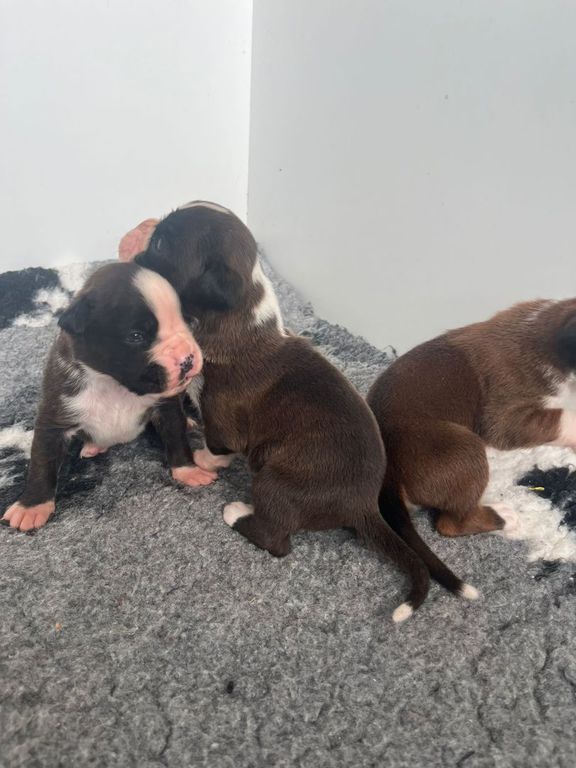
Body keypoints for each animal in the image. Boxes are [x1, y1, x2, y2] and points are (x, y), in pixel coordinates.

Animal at [2, 261, 206, 532]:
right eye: (136, 336)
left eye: (185, 321)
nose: (188, 358)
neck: (114, 385)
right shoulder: (54, 416)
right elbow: (42, 462)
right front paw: (31, 507)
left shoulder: (166, 407)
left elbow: (176, 437)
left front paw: (188, 470)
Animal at [118, 201, 478, 621]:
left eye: (161, 243)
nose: (136, 244)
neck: (234, 317)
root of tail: (363, 506)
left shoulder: (223, 417)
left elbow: (217, 444)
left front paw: (204, 461)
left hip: (275, 482)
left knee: (277, 541)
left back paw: (237, 512)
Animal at [367, 299, 576, 549]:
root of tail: (388, 477)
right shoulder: (504, 416)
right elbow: (563, 416)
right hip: (464, 449)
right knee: (452, 523)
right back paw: (503, 516)